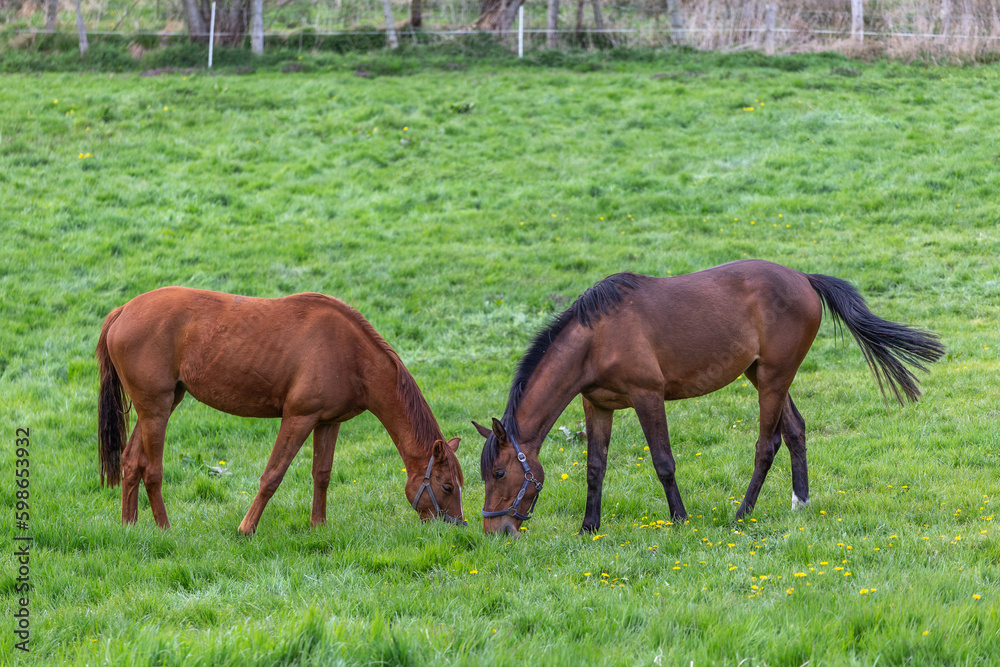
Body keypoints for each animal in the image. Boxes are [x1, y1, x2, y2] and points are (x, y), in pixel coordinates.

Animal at [96, 287, 466, 534]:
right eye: (447, 486)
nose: (457, 525)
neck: (351, 353)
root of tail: (123, 311)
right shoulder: (298, 419)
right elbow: (273, 475)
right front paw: (246, 528)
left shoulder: (328, 423)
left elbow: (322, 474)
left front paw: (319, 526)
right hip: (156, 411)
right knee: (152, 470)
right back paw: (165, 528)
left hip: (160, 406)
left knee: (131, 462)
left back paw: (129, 525)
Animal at [474, 259, 944, 536]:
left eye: (499, 473)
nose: (495, 532)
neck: (598, 337)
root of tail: (805, 280)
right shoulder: (598, 405)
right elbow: (595, 467)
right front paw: (589, 526)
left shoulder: (648, 397)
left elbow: (663, 462)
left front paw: (680, 519)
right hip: (763, 375)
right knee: (795, 431)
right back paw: (800, 502)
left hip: (773, 379)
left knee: (767, 444)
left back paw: (742, 513)